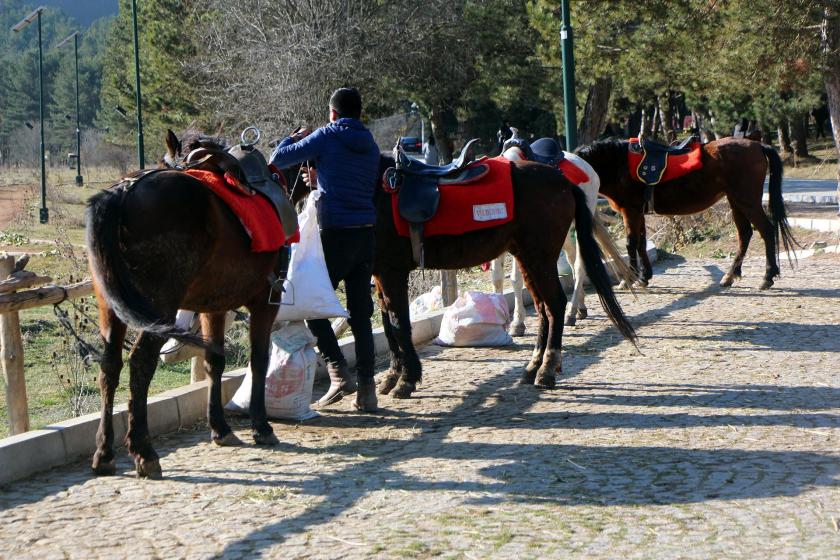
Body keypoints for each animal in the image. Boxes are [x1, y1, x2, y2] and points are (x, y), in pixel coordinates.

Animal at [488, 147, 632, 334]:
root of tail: (589, 169)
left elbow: (516, 279)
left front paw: (518, 323)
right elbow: (497, 279)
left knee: (579, 265)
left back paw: (571, 313)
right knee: (572, 260)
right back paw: (580, 307)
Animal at [576, 138, 796, 290]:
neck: (618, 165)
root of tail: (758, 146)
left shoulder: (630, 211)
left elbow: (631, 244)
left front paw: (630, 280)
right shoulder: (639, 213)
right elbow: (641, 242)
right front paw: (644, 277)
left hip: (747, 201)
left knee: (766, 230)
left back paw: (767, 277)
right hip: (736, 202)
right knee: (745, 235)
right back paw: (730, 276)